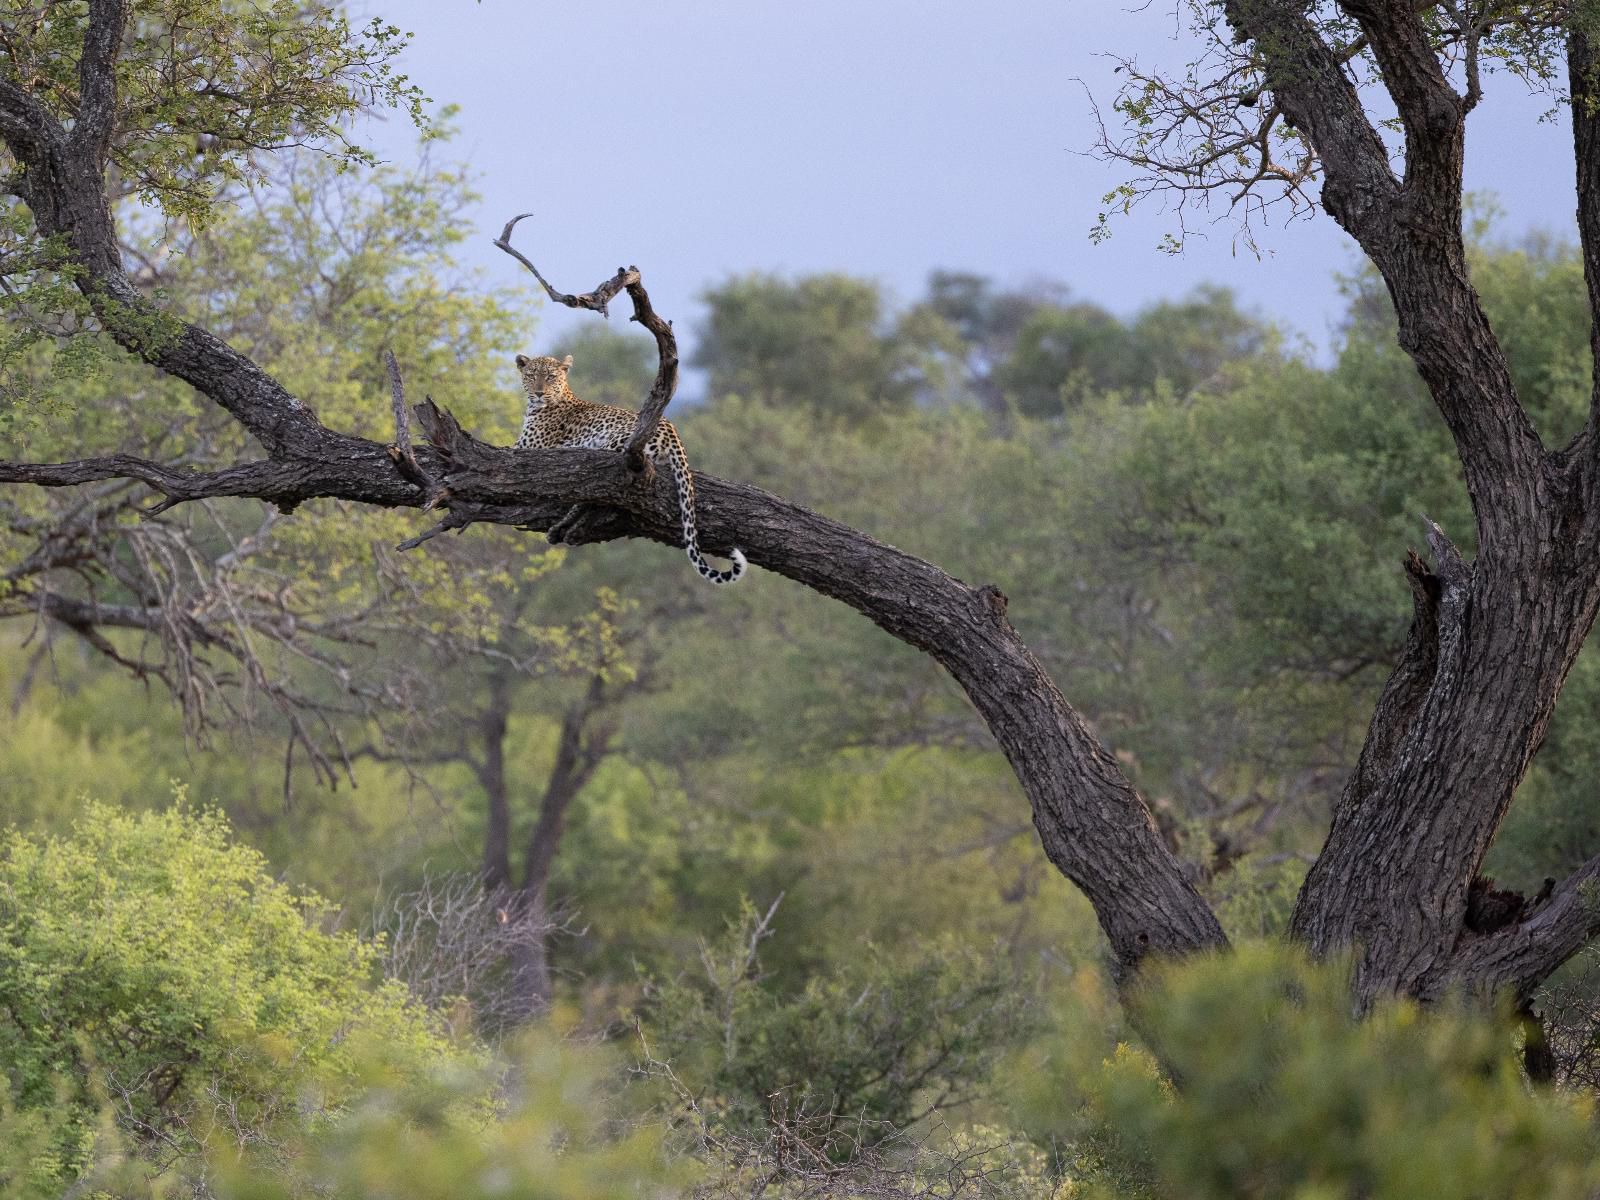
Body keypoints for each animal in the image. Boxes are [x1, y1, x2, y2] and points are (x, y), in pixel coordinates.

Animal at [515, 352, 745, 588]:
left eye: (550, 377)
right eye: (532, 376)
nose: (539, 393)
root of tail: (671, 429)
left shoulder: (530, 447)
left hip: (612, 448)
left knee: (593, 494)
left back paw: (561, 528)